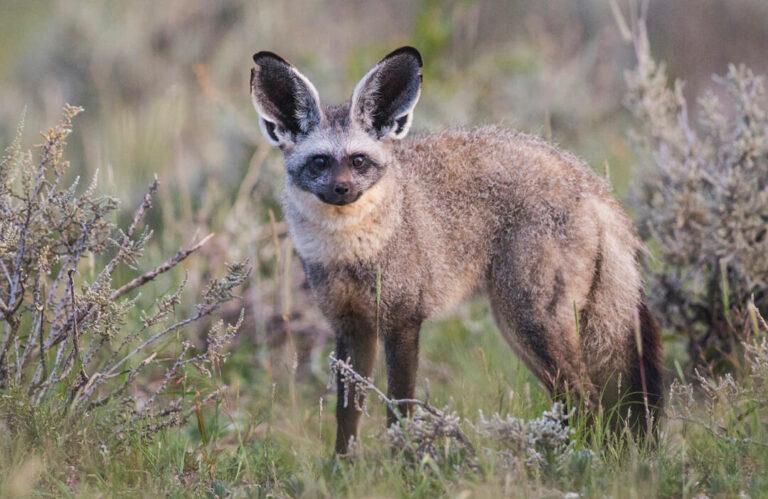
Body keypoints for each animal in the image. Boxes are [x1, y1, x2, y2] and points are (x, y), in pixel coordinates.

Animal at [249, 46, 663, 454]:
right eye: (319, 161)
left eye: (358, 161)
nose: (342, 190)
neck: (352, 253)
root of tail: (590, 182)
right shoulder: (352, 327)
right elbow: (347, 415)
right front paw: (342, 466)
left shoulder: (403, 321)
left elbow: (400, 409)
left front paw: (404, 462)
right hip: (522, 330)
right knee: (573, 401)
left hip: (530, 322)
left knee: (586, 398)